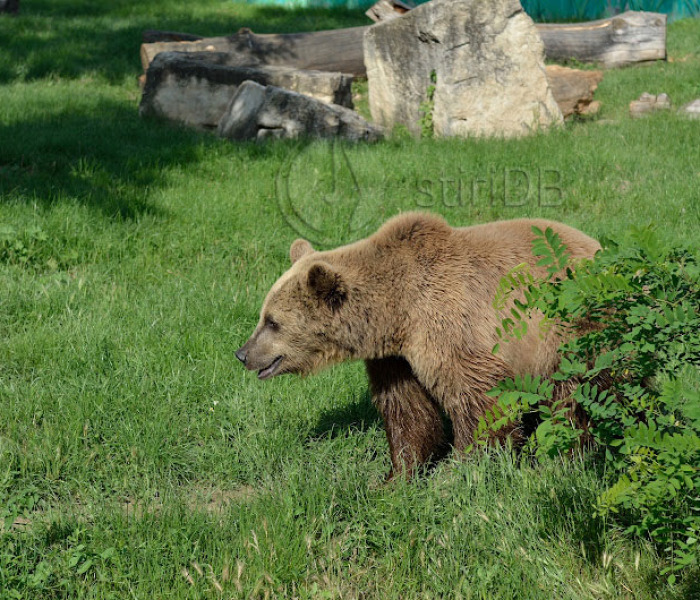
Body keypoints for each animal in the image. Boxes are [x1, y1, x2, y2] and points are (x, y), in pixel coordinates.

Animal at [238, 211, 600, 478]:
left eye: (273, 322)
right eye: (263, 316)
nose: (242, 353)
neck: (396, 314)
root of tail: (594, 244)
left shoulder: (449, 327)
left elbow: (478, 401)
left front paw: (462, 468)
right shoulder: (394, 358)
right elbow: (407, 411)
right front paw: (397, 475)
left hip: (567, 330)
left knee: (574, 397)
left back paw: (570, 454)